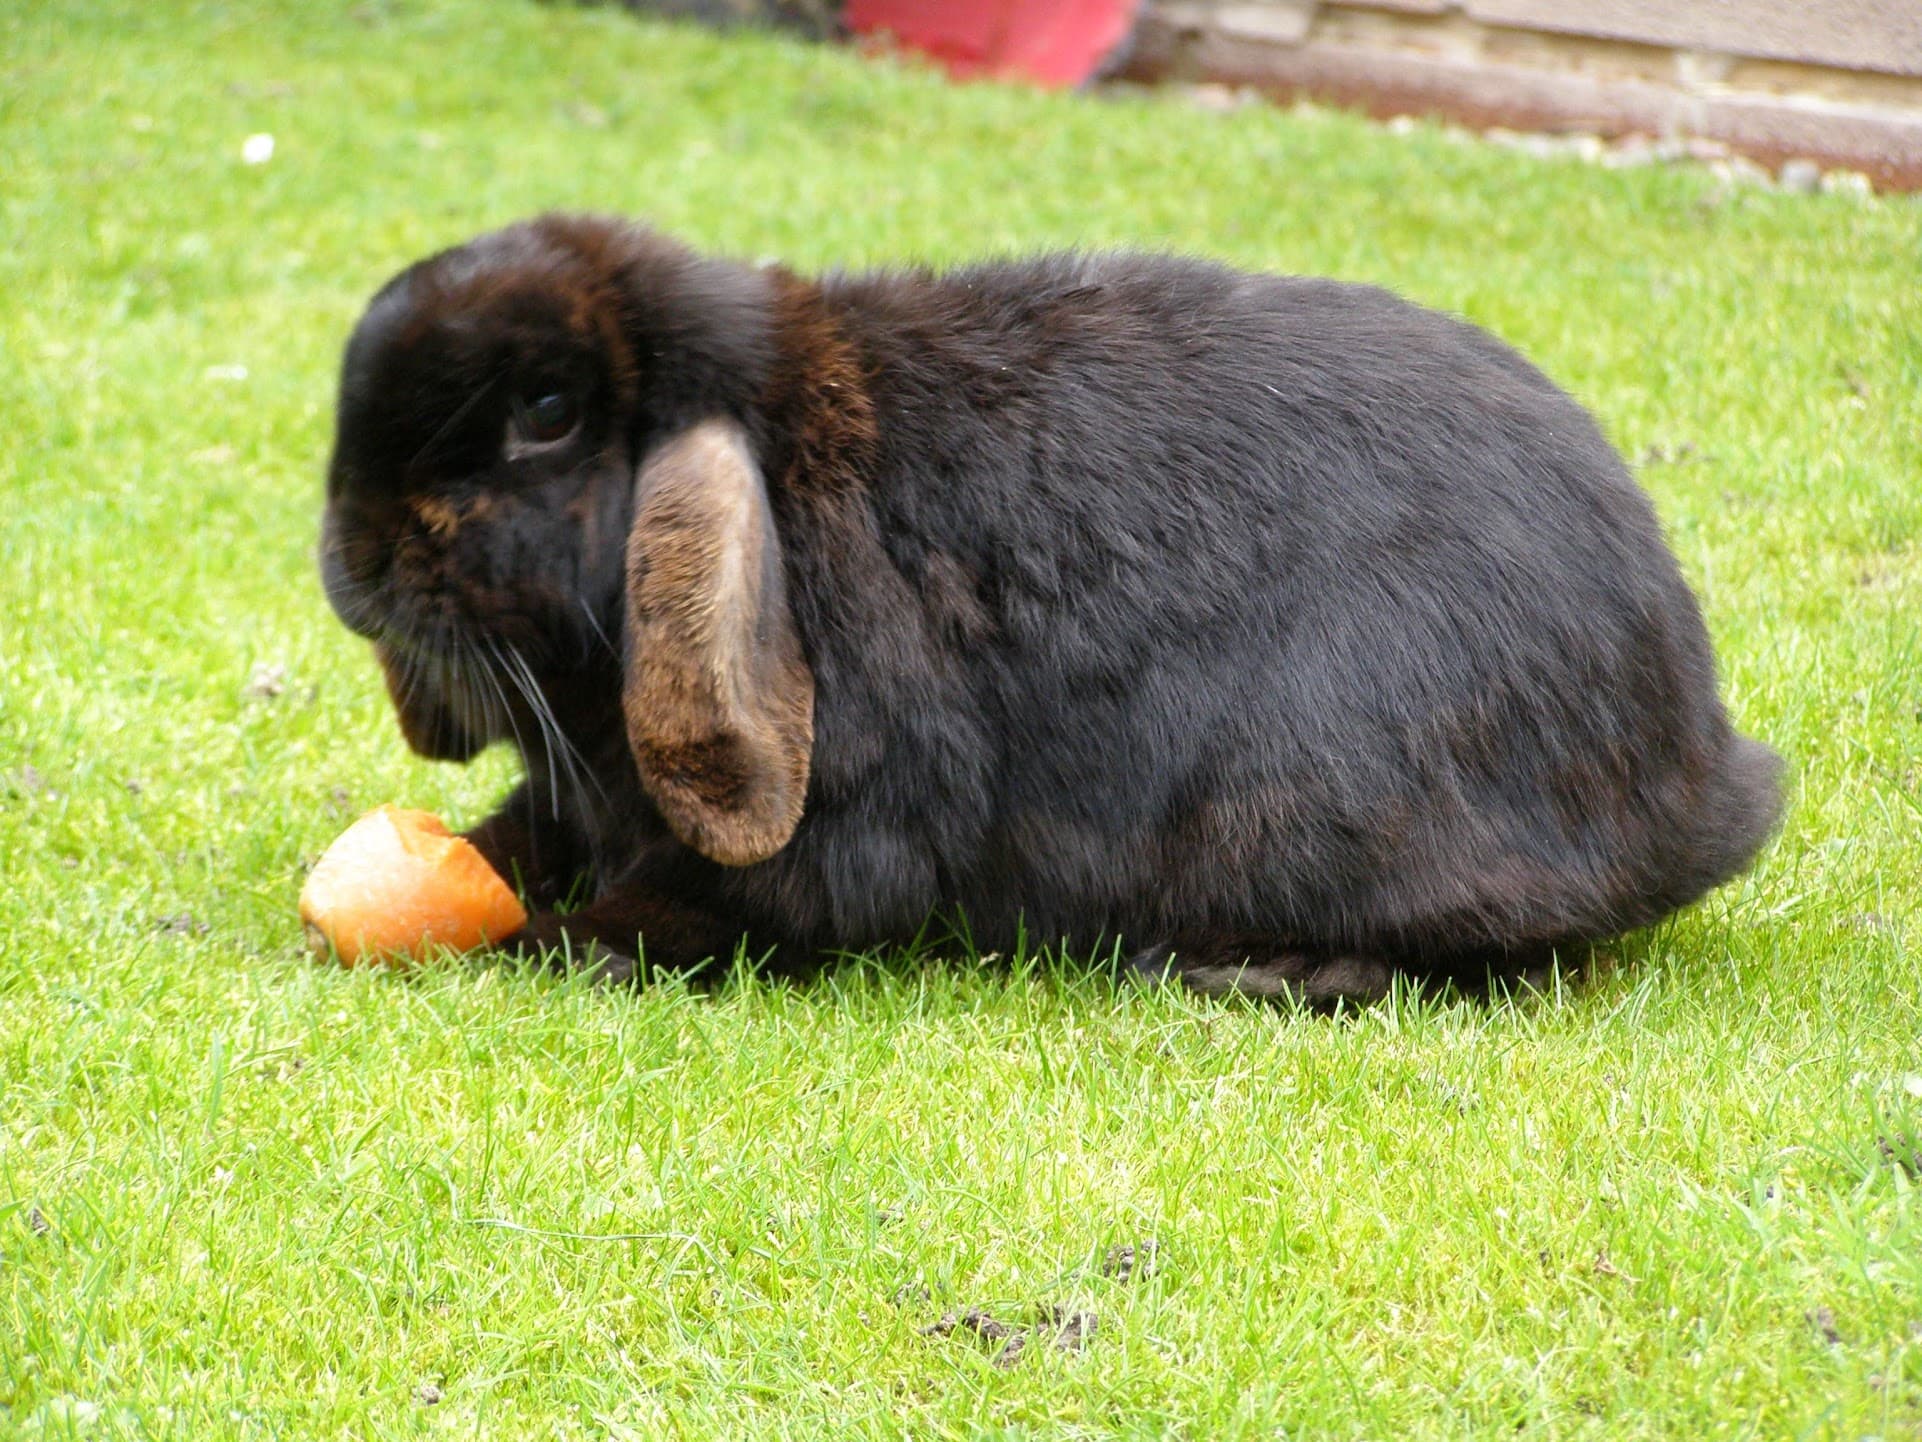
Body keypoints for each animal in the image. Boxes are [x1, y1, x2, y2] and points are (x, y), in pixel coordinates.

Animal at [318, 213, 1782, 1003]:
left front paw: (560, 943)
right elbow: (524, 832)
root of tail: (1705, 767)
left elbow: (725, 905)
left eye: (544, 411)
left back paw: (1254, 971)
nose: (348, 570)